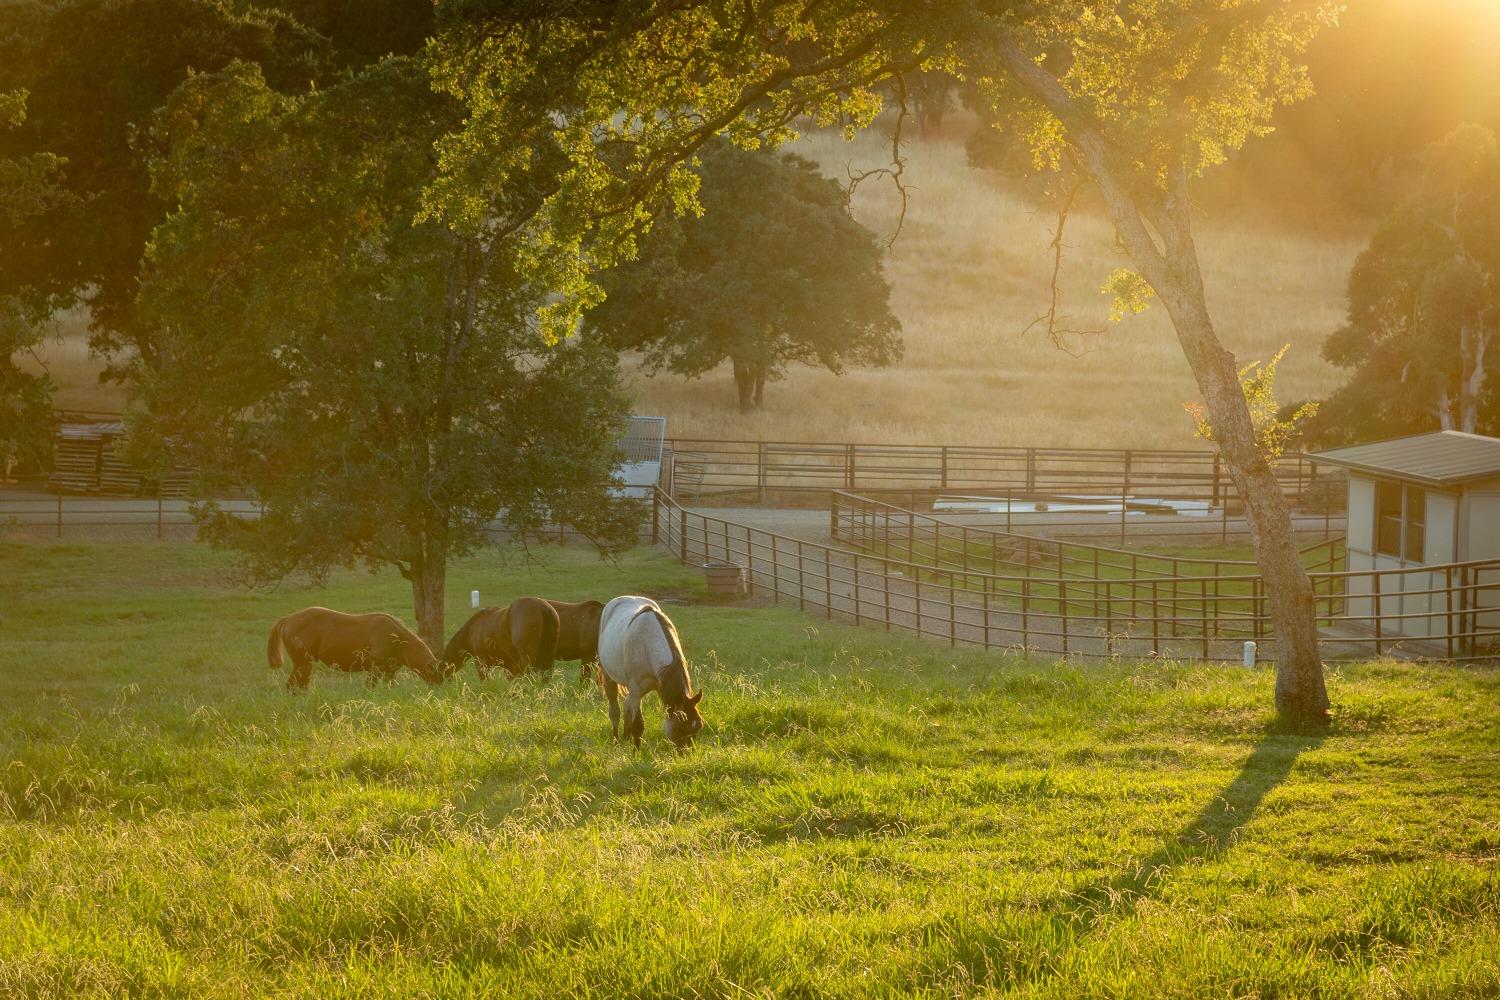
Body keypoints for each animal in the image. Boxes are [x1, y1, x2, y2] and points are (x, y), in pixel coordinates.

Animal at [268, 605, 441, 692]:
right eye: (438, 675)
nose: (438, 690)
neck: (396, 638)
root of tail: (288, 619)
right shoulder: (375, 669)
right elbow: (369, 688)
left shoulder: (390, 671)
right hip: (302, 663)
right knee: (292, 686)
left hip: (304, 665)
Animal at [591, 593, 702, 749]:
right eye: (680, 727)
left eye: (699, 726)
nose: (688, 752)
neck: (648, 644)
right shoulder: (636, 691)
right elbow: (638, 726)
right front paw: (636, 752)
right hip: (610, 678)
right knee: (614, 711)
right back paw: (616, 741)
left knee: (626, 705)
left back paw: (625, 737)